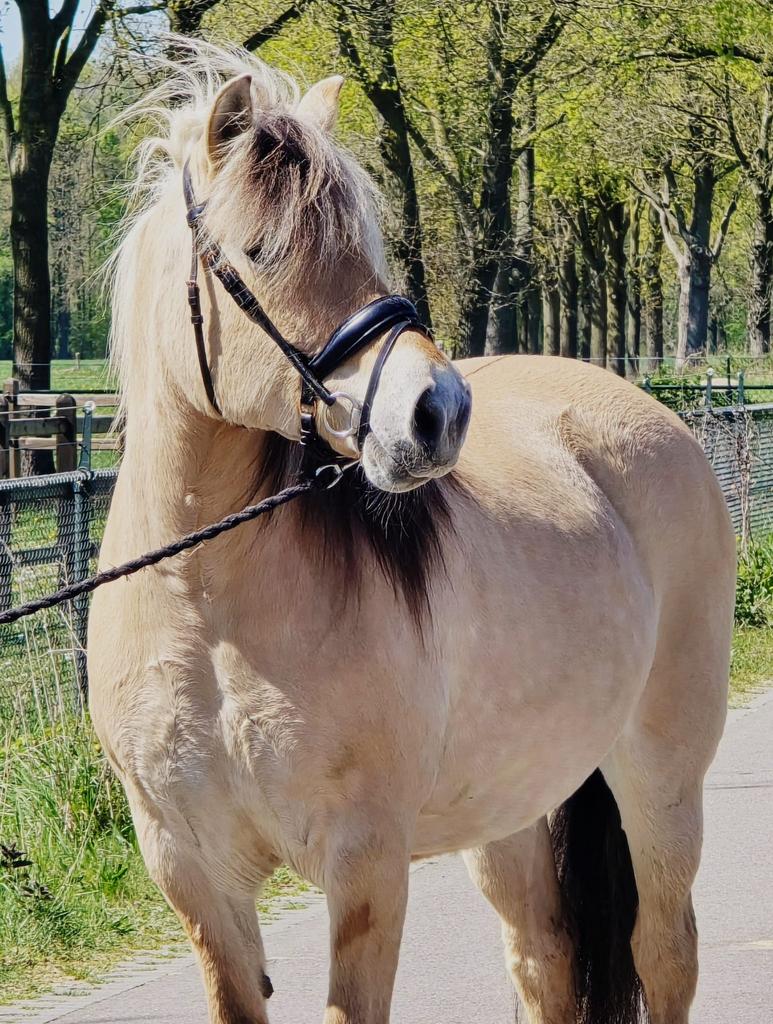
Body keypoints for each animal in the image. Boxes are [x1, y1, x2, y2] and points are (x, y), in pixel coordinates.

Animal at [88, 42, 736, 1024]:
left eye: (364, 243)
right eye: (260, 251)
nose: (439, 412)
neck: (202, 606)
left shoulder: (365, 864)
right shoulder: (193, 874)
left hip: (660, 779)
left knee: (664, 953)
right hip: (510, 807)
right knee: (544, 959)